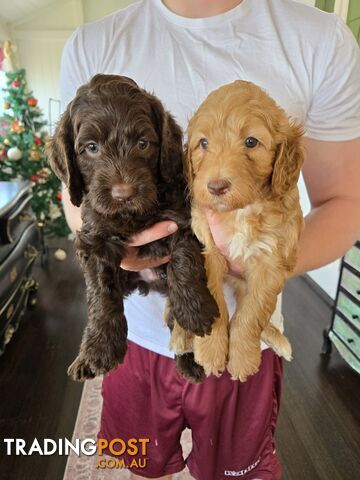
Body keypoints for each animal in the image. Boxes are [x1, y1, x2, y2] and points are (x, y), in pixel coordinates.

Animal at [46, 75, 218, 382]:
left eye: (142, 144)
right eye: (91, 147)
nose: (123, 194)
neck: (132, 215)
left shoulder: (181, 218)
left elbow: (184, 260)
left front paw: (194, 310)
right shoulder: (95, 238)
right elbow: (101, 296)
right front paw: (100, 350)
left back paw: (189, 359)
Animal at [186, 82, 304, 382]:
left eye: (251, 142)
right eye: (203, 143)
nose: (216, 186)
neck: (241, 211)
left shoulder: (271, 264)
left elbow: (251, 314)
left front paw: (241, 360)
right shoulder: (209, 249)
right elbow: (215, 302)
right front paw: (212, 350)